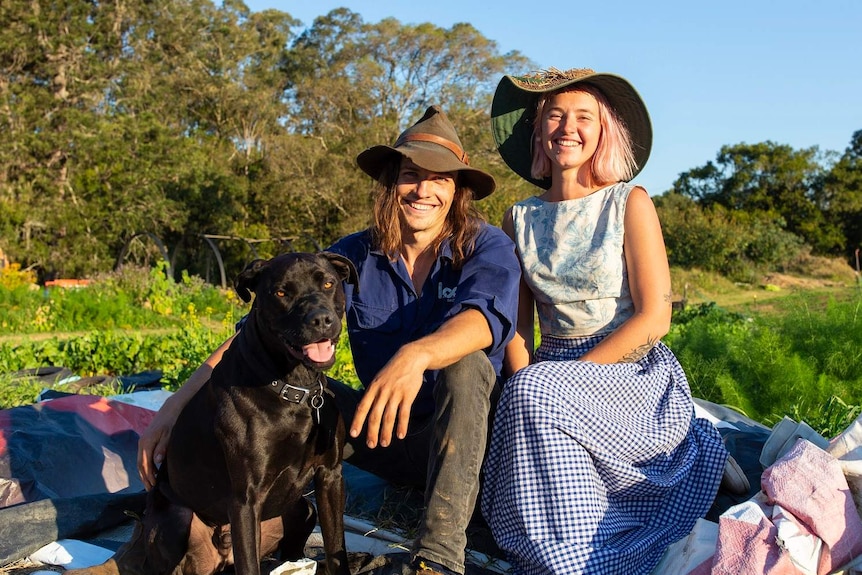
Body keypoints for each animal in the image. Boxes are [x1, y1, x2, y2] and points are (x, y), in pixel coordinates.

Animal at [72, 254, 356, 575]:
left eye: (328, 283)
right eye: (282, 292)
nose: (320, 319)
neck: (295, 389)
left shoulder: (330, 476)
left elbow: (336, 547)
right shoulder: (245, 499)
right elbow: (250, 565)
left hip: (301, 509)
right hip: (177, 519)